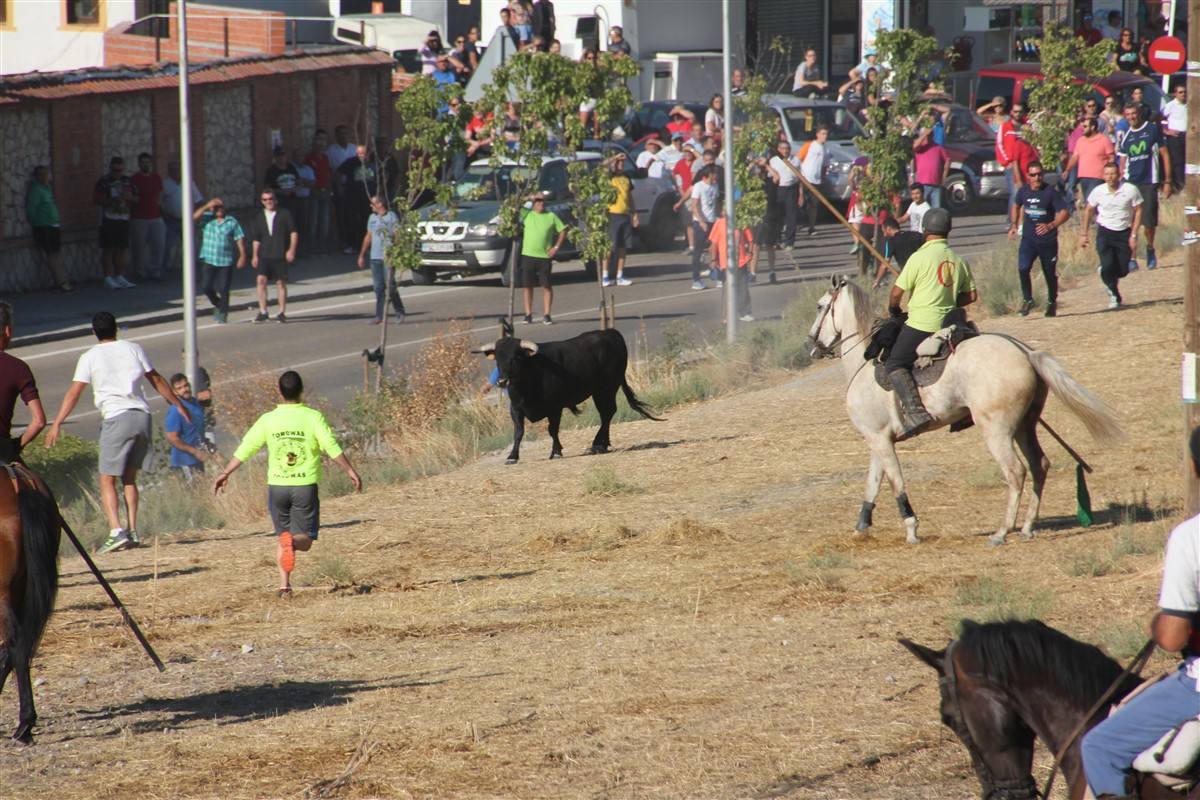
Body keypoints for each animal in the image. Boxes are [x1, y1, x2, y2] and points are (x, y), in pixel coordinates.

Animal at [477, 331, 667, 465]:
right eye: (497, 360)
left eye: (515, 357)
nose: (502, 381)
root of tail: (610, 332)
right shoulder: (516, 409)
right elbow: (518, 433)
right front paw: (512, 456)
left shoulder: (555, 408)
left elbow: (552, 430)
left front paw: (556, 452)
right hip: (600, 391)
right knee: (606, 413)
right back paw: (603, 444)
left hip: (607, 388)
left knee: (607, 412)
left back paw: (597, 444)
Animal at [806, 275, 1123, 544]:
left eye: (820, 306)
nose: (811, 344)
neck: (863, 363)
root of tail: (1024, 352)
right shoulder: (877, 439)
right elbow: (873, 482)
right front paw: (861, 526)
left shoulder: (881, 440)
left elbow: (896, 483)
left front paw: (911, 529)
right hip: (1025, 425)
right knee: (1039, 466)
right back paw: (1027, 527)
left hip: (996, 430)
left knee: (1016, 471)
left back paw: (1002, 532)